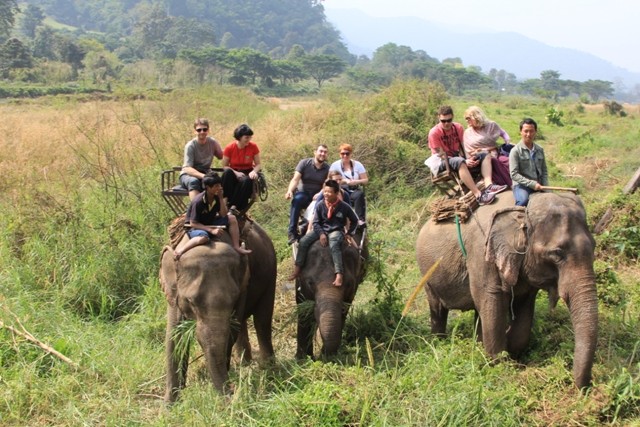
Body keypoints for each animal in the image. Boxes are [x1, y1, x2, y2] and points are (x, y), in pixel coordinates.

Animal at [160, 220, 276, 402]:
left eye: (234, 298)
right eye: (191, 301)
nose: (232, 393)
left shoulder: (243, 284)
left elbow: (231, 331)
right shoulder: (173, 293)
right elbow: (174, 337)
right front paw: (169, 405)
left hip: (271, 272)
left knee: (262, 320)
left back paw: (267, 367)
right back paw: (245, 363)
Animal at [295, 230, 367, 359]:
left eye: (349, 284)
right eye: (310, 283)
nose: (322, 356)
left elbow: (344, 310)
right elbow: (303, 309)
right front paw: (302, 359)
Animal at [416, 191, 597, 389]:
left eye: (594, 247)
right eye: (557, 253)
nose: (584, 388)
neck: (522, 210)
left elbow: (523, 309)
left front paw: (511, 350)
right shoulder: (481, 254)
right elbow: (492, 301)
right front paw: (500, 366)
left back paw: (477, 345)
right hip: (427, 276)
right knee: (438, 309)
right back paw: (439, 343)